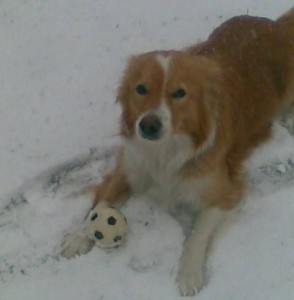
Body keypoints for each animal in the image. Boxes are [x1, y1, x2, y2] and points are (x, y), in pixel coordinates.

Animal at [59, 8, 294, 296]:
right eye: (141, 89)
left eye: (179, 93)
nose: (148, 125)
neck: (165, 151)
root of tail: (273, 25)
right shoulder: (129, 170)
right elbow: (99, 205)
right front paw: (78, 235)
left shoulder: (227, 192)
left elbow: (197, 234)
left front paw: (189, 273)